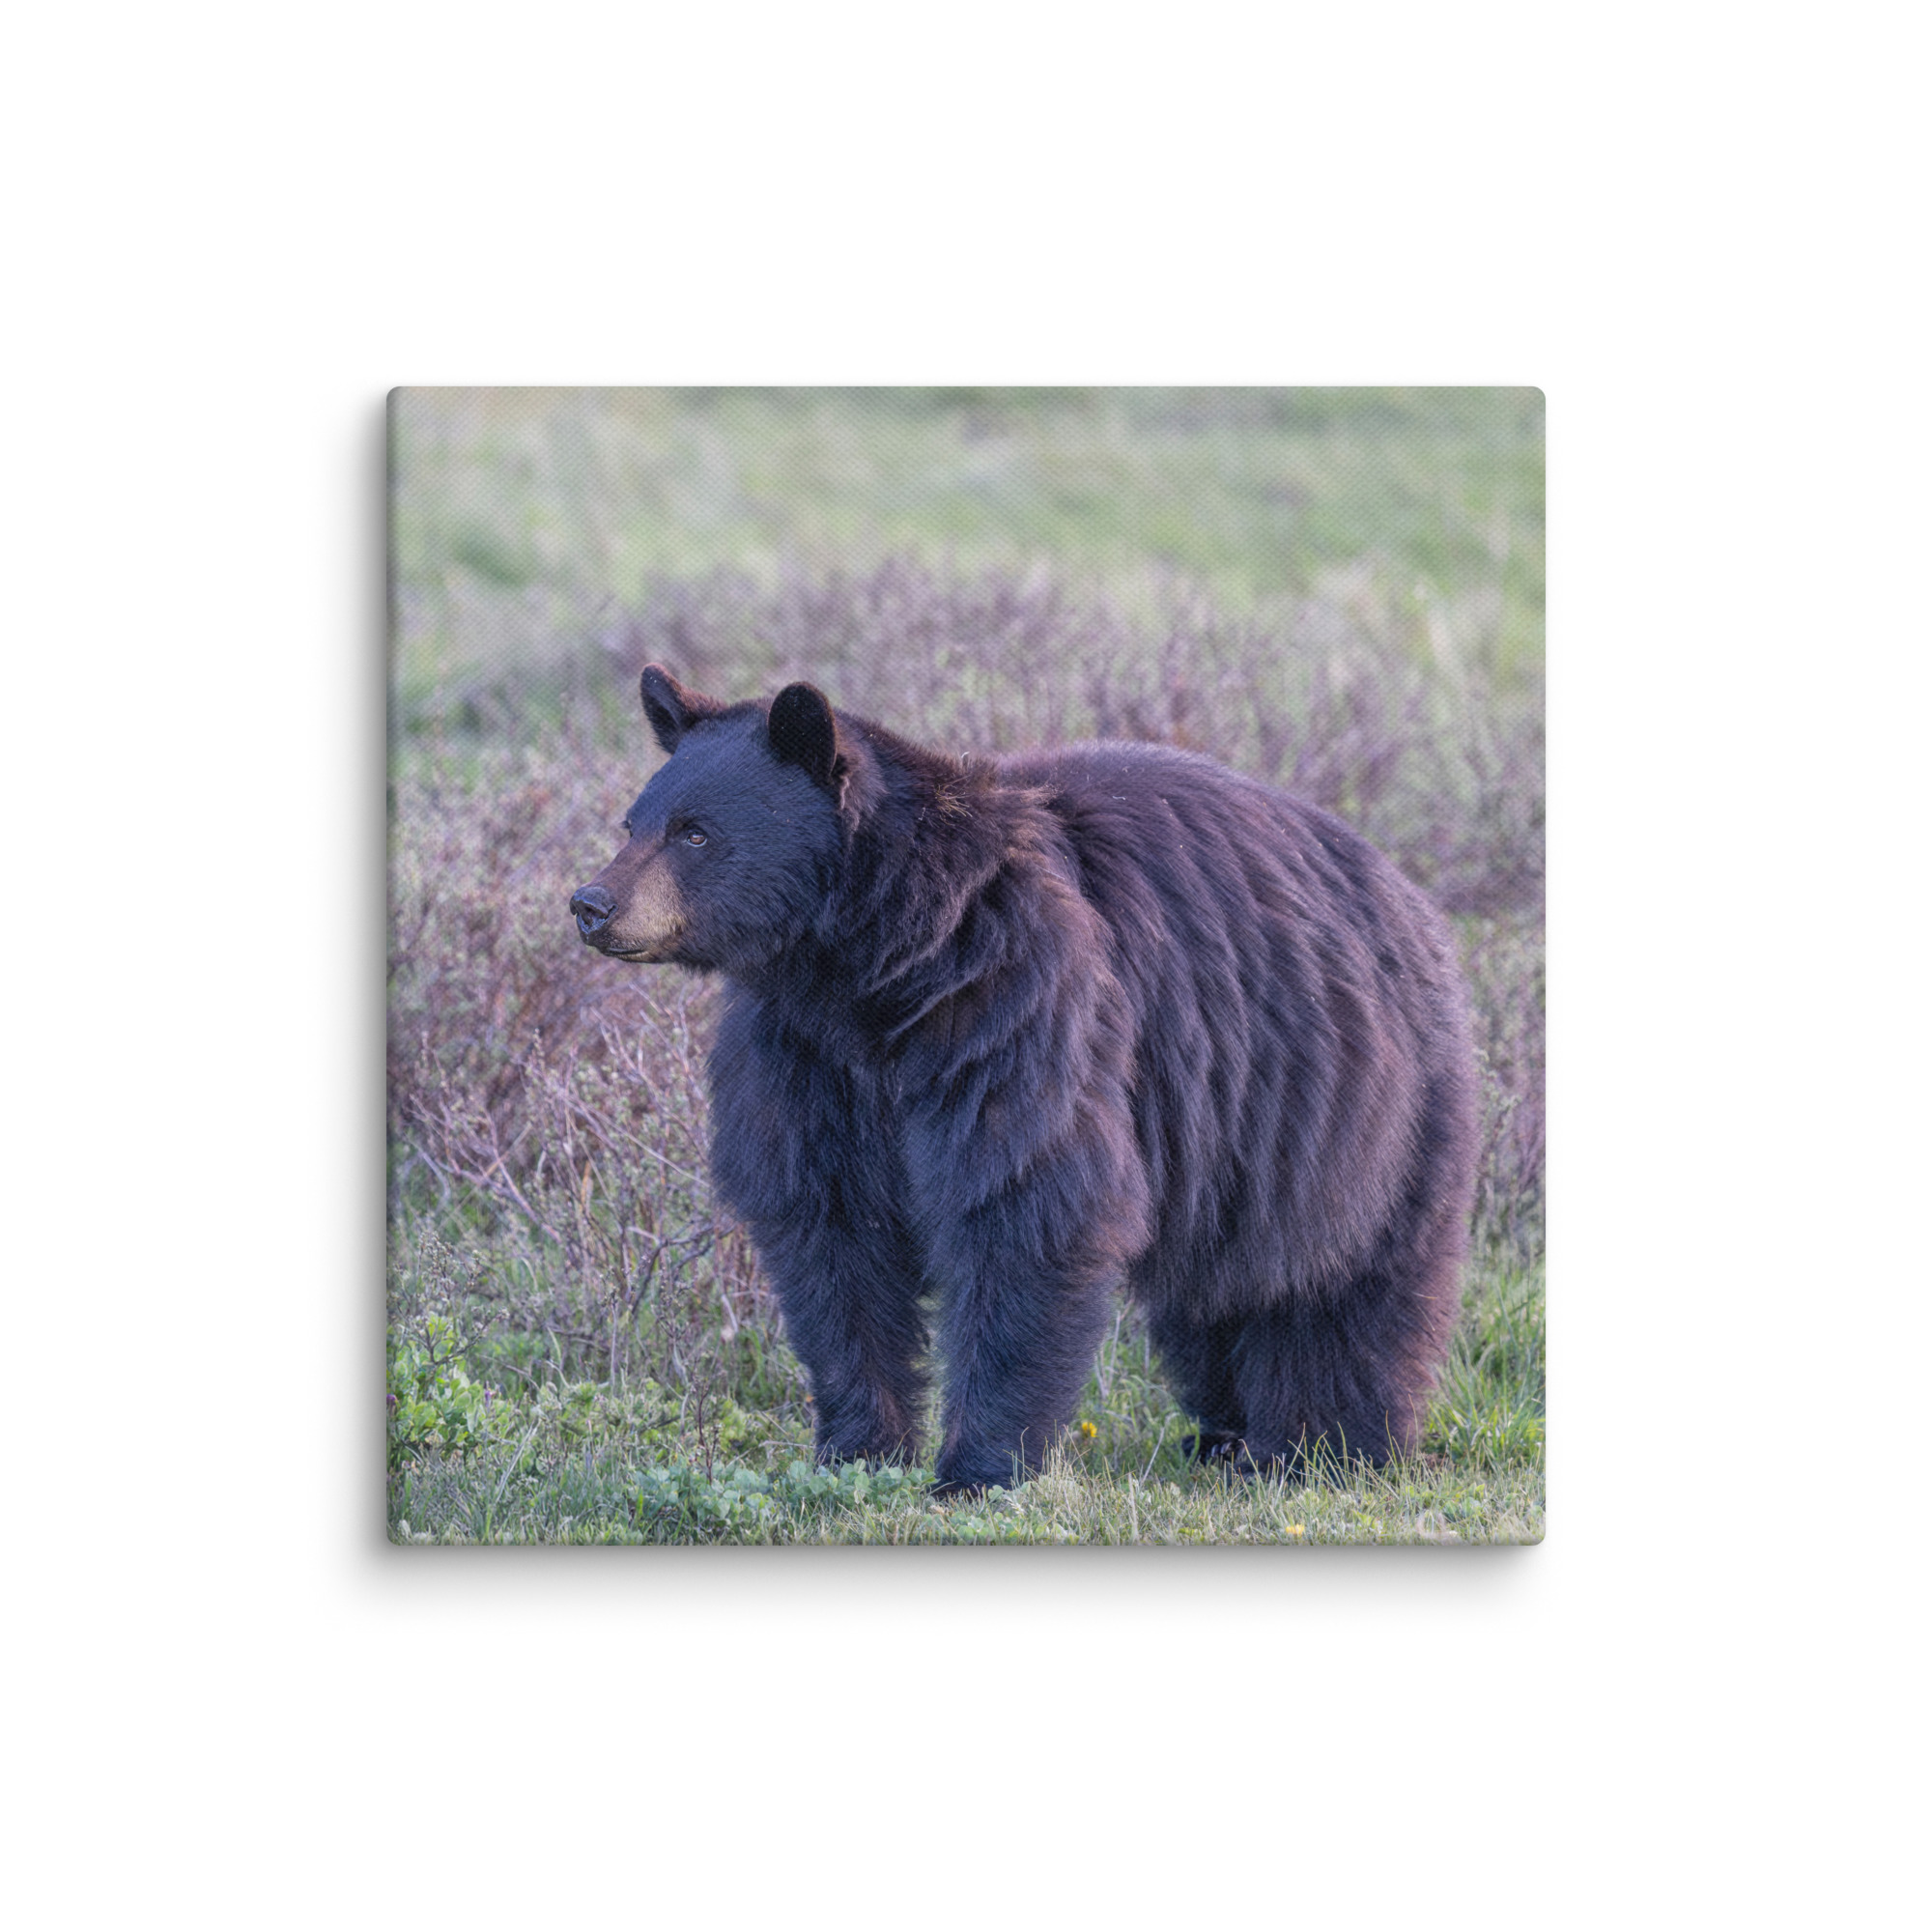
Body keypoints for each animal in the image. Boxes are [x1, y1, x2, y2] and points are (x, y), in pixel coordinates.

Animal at [570, 664, 1478, 1493]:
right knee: (1217, 1293)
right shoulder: (805, 1058)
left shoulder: (1015, 1006)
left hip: (1354, 1106)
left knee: (1346, 1284)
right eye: (633, 820)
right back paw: (1224, 1435)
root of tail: (1406, 892)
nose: (591, 903)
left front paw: (976, 1469)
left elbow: (1025, 1203)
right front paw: (858, 1449)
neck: (874, 967)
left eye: (694, 833)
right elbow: (830, 1233)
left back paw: (1324, 1446)